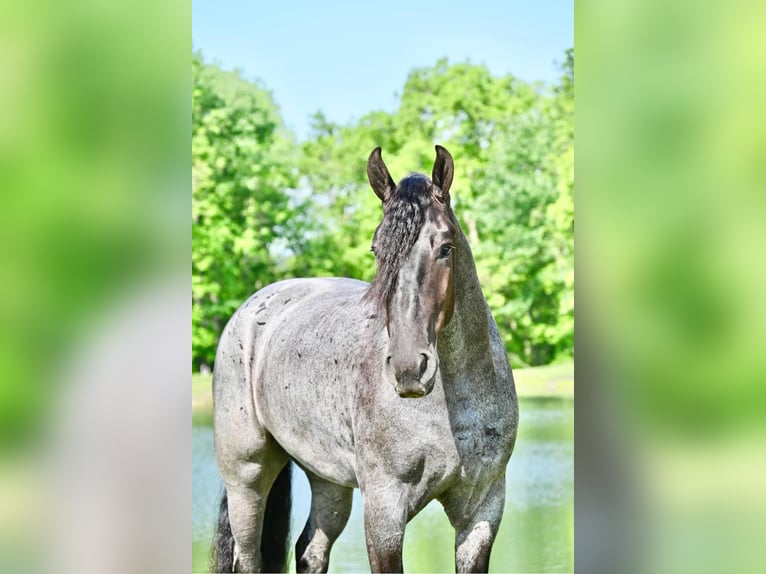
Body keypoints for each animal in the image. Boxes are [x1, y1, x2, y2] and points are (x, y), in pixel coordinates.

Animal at [213, 146, 520, 572]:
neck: (453, 406)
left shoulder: (483, 507)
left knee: (311, 550)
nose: (408, 369)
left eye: (445, 247)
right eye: (378, 250)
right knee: (248, 557)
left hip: (328, 481)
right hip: (247, 478)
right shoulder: (384, 510)